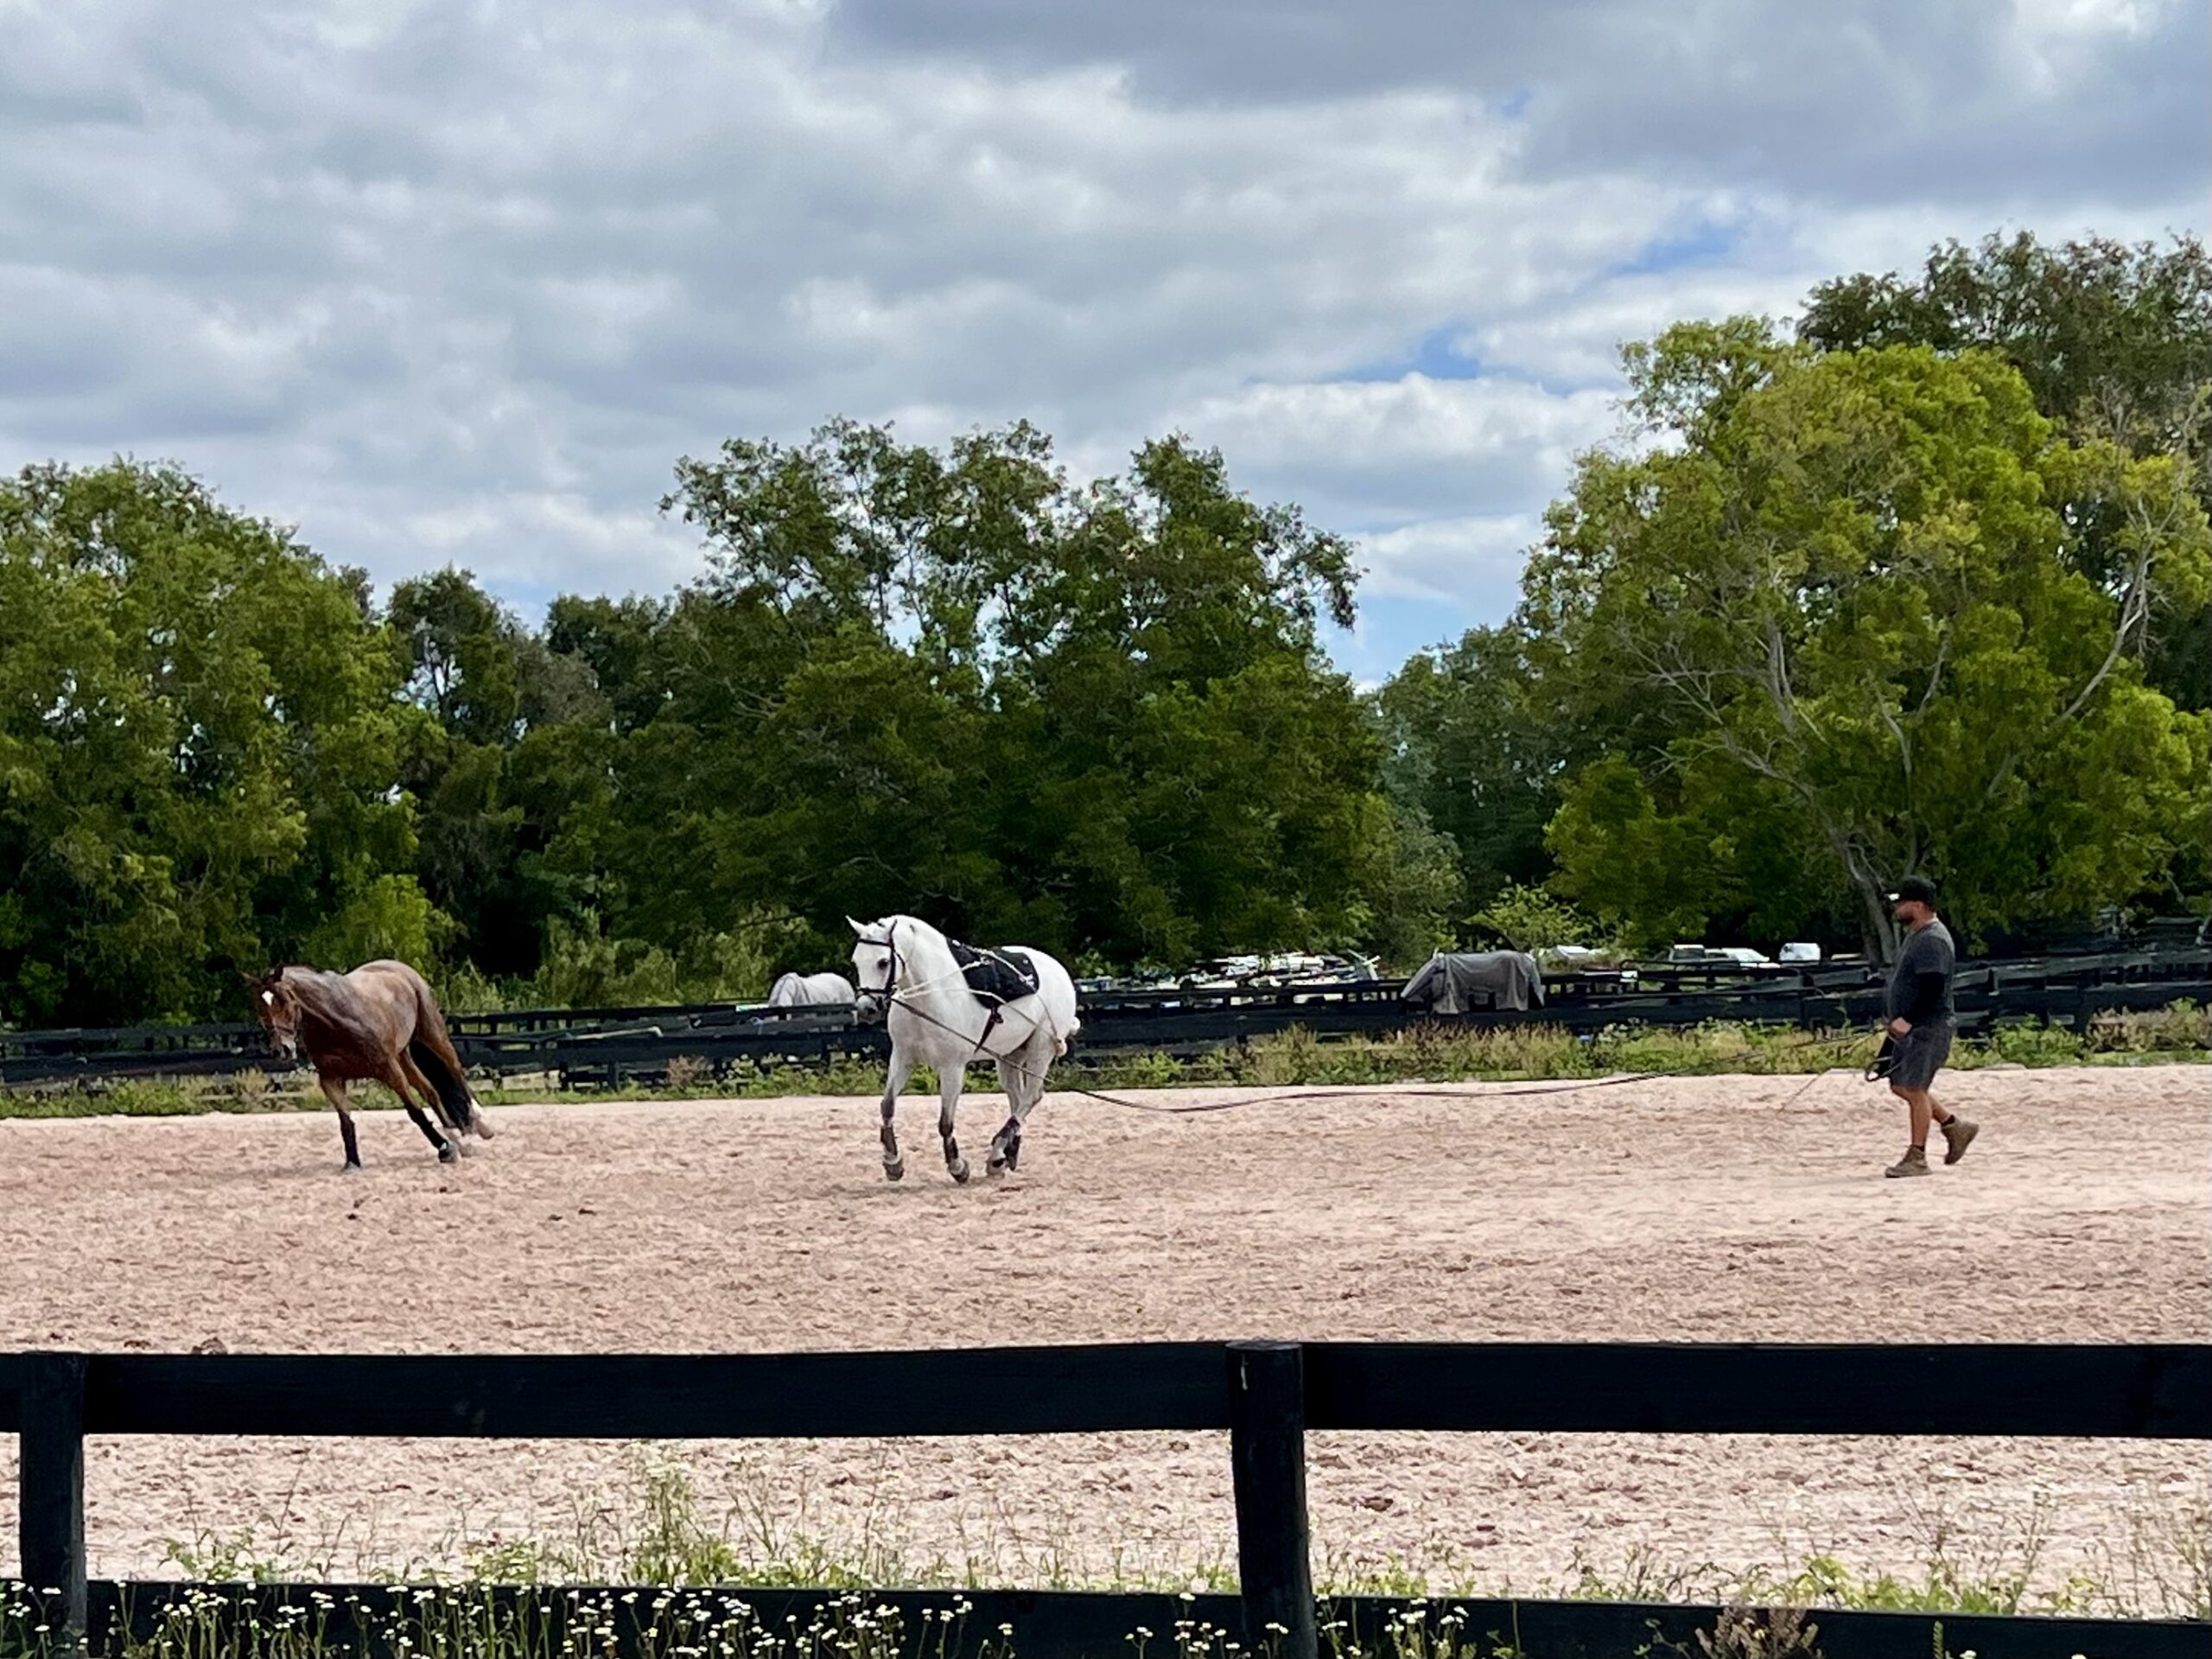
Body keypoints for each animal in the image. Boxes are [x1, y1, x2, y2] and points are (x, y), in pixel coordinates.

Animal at [249, 955, 495, 1176]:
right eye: (260, 1006)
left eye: (284, 1000)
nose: (281, 1050)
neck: (335, 1020)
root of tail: (402, 969)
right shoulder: (331, 1080)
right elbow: (345, 1123)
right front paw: (352, 1163)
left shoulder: (388, 1070)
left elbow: (414, 1112)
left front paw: (445, 1150)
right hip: (403, 1055)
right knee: (431, 1091)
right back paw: (458, 1139)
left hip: (433, 1036)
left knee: (456, 1071)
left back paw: (480, 1124)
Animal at [844, 925, 1079, 1185]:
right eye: (856, 961)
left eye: (883, 962)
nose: (866, 1008)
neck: (932, 994)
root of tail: (1059, 970)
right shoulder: (902, 1058)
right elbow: (887, 1106)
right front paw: (893, 1162)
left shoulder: (952, 1068)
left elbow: (945, 1123)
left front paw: (958, 1167)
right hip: (1010, 1055)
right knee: (1017, 1098)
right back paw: (1004, 1155)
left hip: (1041, 1050)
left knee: (1031, 1097)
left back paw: (997, 1156)